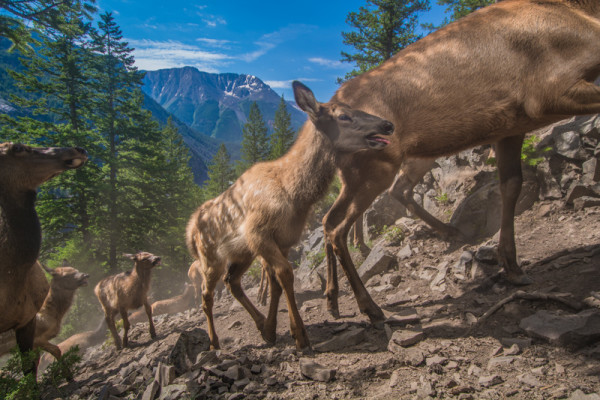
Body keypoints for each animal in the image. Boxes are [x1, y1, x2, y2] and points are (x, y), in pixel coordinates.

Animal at [324, 0, 600, 324]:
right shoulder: (549, 92)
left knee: (335, 217)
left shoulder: (512, 126)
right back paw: (369, 304)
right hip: (377, 168)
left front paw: (512, 265)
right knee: (340, 225)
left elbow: (511, 185)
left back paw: (334, 298)